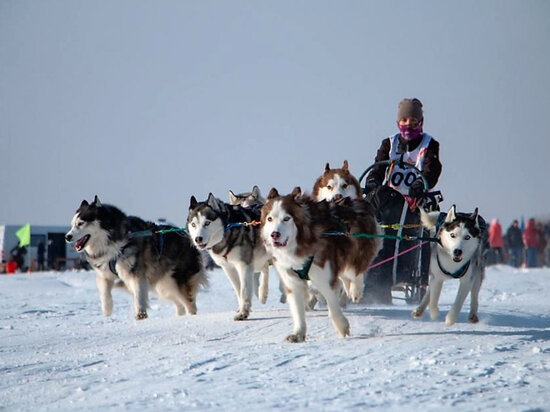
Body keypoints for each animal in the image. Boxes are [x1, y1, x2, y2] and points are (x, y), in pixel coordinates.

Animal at [65, 198, 207, 320]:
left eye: (80, 223)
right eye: (72, 225)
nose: (67, 236)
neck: (112, 242)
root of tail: (189, 235)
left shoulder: (137, 273)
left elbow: (139, 295)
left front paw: (140, 315)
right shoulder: (104, 274)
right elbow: (105, 294)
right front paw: (107, 313)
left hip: (177, 280)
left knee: (189, 303)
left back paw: (191, 316)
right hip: (163, 284)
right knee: (179, 303)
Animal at [188, 194, 272, 322]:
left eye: (207, 223)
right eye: (193, 224)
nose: (198, 239)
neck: (227, 230)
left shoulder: (244, 265)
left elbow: (244, 290)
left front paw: (243, 313)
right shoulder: (228, 268)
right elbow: (238, 289)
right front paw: (242, 308)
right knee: (265, 268)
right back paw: (263, 293)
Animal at [260, 187, 382, 342]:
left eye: (286, 218)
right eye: (269, 219)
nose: (274, 234)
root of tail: (355, 202)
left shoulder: (325, 276)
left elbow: (331, 302)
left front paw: (341, 326)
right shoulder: (292, 281)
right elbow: (298, 308)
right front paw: (299, 333)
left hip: (356, 249)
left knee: (356, 270)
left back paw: (355, 290)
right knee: (344, 276)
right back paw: (348, 287)